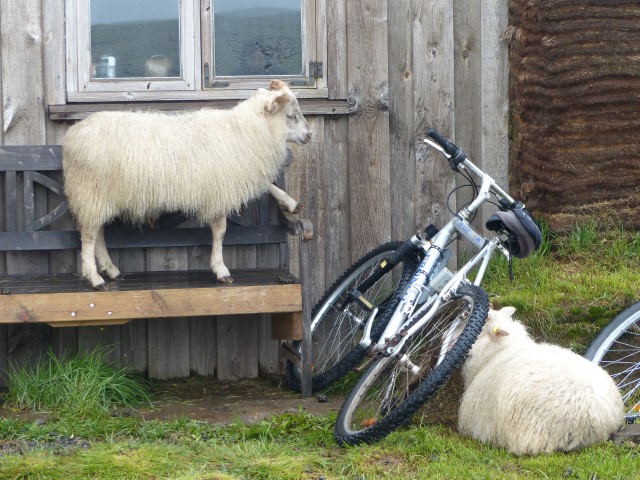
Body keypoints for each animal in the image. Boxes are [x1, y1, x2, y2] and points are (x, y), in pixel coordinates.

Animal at [62, 79, 311, 290]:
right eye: (291, 115)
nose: (310, 135)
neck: (246, 131)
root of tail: (72, 135)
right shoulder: (220, 188)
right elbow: (220, 231)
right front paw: (221, 270)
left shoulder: (240, 171)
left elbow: (267, 184)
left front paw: (291, 203)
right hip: (91, 192)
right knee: (88, 236)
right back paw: (95, 278)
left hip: (99, 196)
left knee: (97, 233)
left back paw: (111, 270)